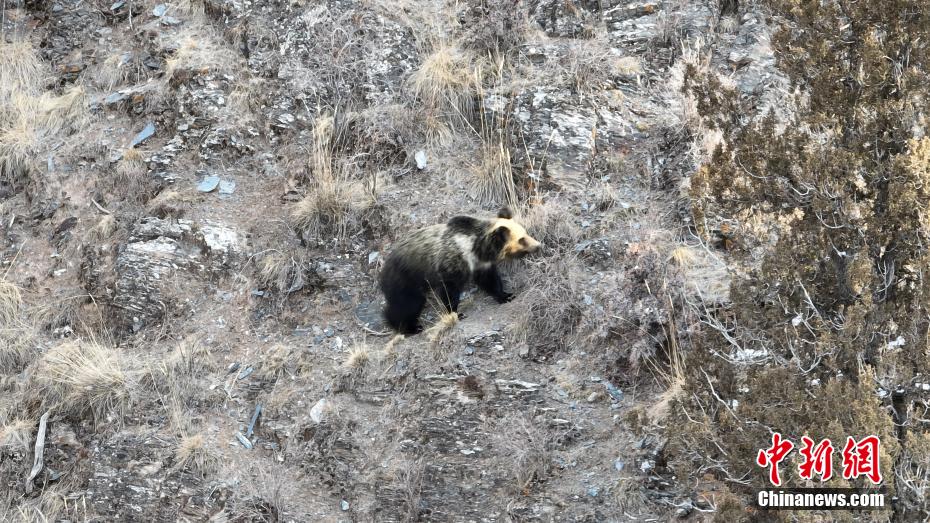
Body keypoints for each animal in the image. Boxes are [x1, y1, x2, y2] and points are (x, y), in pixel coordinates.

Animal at [379, 207, 541, 334]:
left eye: (525, 232)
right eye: (522, 239)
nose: (538, 245)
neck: (475, 248)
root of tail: (384, 265)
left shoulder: (481, 265)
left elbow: (490, 280)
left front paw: (506, 295)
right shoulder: (451, 265)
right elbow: (449, 291)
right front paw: (456, 313)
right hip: (406, 278)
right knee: (408, 303)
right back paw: (408, 327)